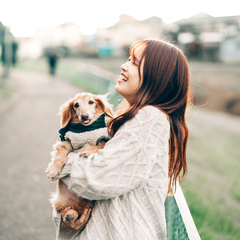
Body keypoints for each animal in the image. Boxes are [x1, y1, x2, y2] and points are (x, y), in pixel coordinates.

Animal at [45, 93, 112, 226]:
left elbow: (100, 146)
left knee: (79, 211)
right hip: (61, 202)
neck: (85, 129)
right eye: (76, 105)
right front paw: (53, 170)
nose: (84, 116)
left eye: (91, 102)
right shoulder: (67, 143)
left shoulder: (104, 139)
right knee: (71, 211)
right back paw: (70, 215)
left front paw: (88, 150)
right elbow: (60, 157)